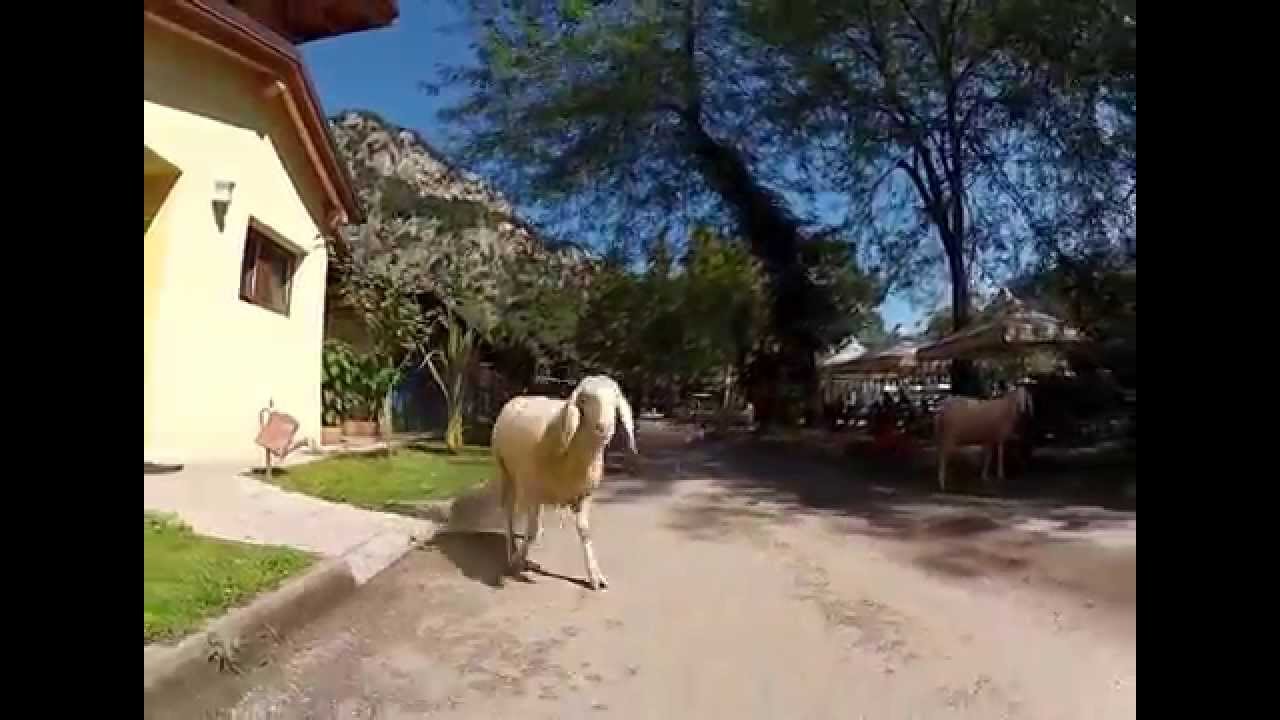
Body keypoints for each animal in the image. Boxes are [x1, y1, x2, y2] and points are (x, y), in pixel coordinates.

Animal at [491, 375, 637, 591]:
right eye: (584, 399)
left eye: (616, 398)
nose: (605, 428)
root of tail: (521, 397)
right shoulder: (532, 490)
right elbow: (530, 532)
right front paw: (517, 561)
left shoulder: (584, 494)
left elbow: (585, 532)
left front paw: (595, 575)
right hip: (506, 471)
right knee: (508, 511)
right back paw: (513, 550)